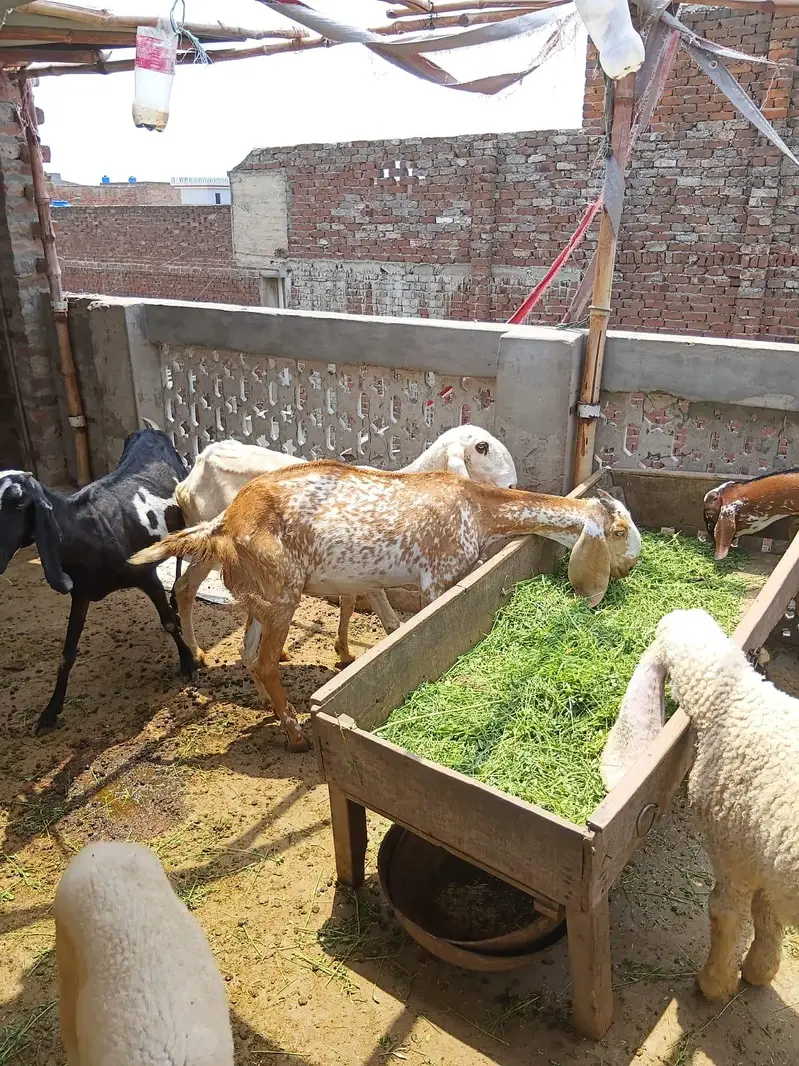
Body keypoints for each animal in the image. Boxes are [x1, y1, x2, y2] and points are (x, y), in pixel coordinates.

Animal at [0, 428, 196, 734]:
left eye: (20, 502)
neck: (87, 531)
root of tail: (149, 430)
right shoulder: (80, 593)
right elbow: (67, 653)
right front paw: (50, 712)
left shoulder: (146, 575)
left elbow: (167, 622)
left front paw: (188, 662)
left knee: (179, 553)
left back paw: (176, 597)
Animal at [131, 462, 641, 751]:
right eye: (619, 531)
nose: (632, 567)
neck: (476, 510)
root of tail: (225, 525)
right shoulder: (436, 578)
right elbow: (426, 629)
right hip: (281, 595)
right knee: (262, 658)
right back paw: (295, 734)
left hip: (262, 598)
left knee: (247, 655)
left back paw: (274, 713)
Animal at [171, 426, 517, 667]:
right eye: (482, 447)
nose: (513, 484)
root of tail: (197, 466)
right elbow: (390, 620)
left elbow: (349, 602)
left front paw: (344, 651)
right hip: (211, 548)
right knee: (184, 588)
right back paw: (196, 653)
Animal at [600, 608, 799, 1002]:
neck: (736, 700)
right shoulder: (763, 850)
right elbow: (767, 910)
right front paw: (761, 969)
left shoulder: (733, 844)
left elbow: (726, 911)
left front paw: (714, 983)